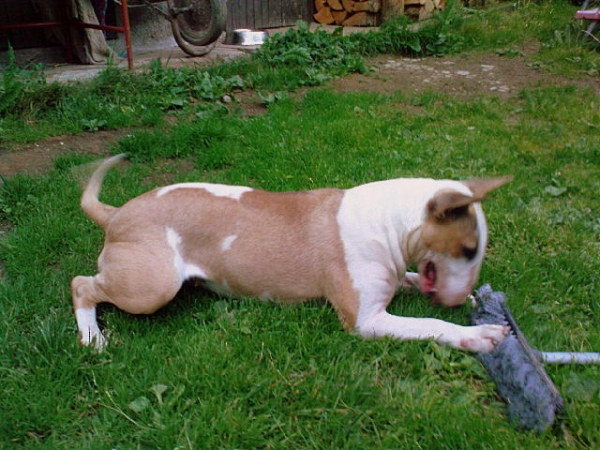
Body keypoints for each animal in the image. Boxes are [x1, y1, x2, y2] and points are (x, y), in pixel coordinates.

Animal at [72, 154, 511, 352]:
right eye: (469, 249)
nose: (460, 297)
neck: (390, 221)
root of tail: (116, 214)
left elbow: (415, 280)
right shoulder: (365, 320)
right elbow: (429, 325)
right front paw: (480, 334)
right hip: (152, 286)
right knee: (82, 285)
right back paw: (93, 336)